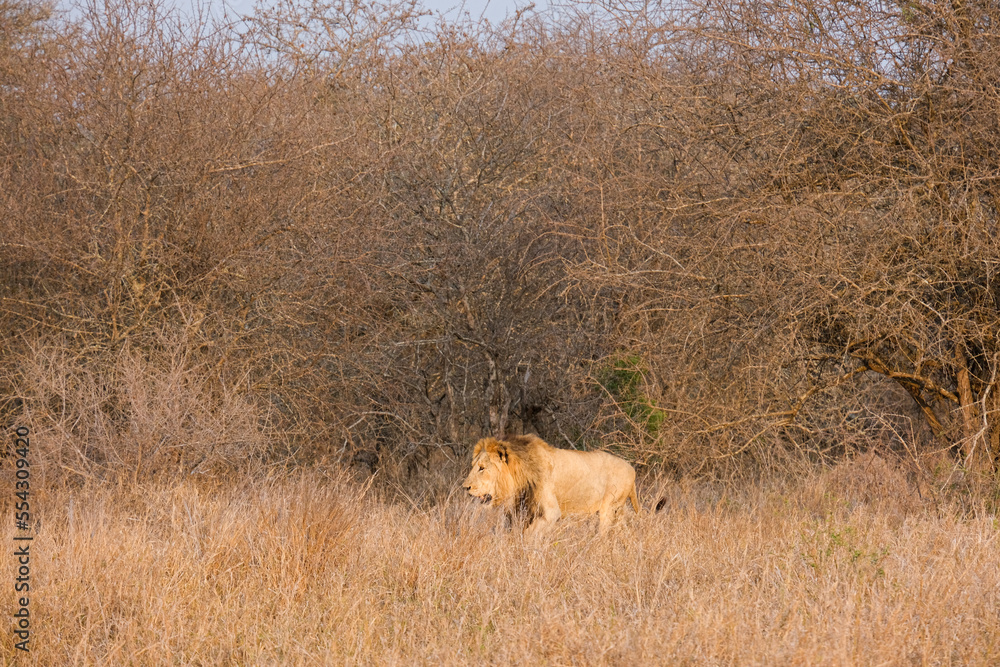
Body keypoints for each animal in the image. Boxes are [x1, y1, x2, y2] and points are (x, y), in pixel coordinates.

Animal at [461, 434, 640, 536]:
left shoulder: (551, 512)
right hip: (618, 511)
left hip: (608, 509)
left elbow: (530, 535)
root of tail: (632, 469)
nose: (465, 487)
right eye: (474, 465)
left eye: (482, 468)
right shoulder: (522, 512)